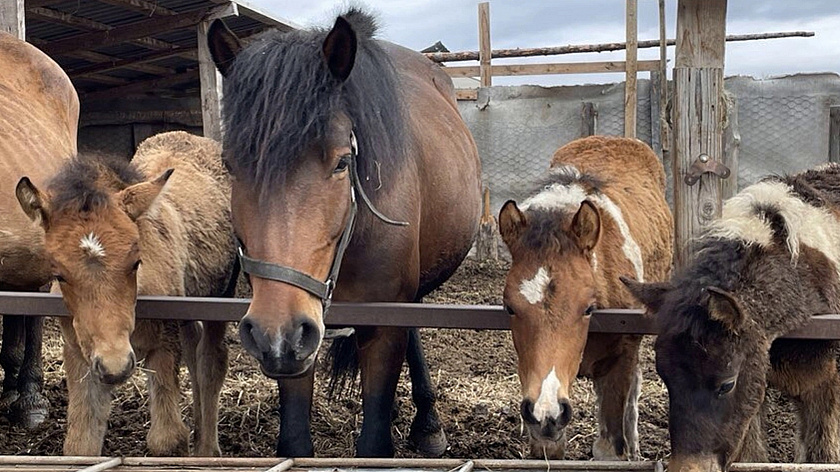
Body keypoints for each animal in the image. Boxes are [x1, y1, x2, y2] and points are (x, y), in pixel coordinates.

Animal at [14, 131, 236, 456]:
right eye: (59, 274)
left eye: (135, 262)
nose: (116, 365)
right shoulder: (81, 354)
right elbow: (81, 444)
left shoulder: (163, 344)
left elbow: (167, 439)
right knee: (194, 347)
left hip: (221, 296)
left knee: (210, 361)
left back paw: (207, 450)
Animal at [205, 7, 480, 458]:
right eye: (230, 165)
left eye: (341, 162)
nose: (272, 332)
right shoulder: (297, 341)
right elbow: (295, 442)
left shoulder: (383, 325)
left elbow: (374, 444)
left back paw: (428, 424)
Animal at [624, 163, 840, 472]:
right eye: (664, 378)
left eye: (727, 384)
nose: (688, 468)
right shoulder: (758, 377)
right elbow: (751, 455)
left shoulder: (824, 383)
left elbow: (822, 456)